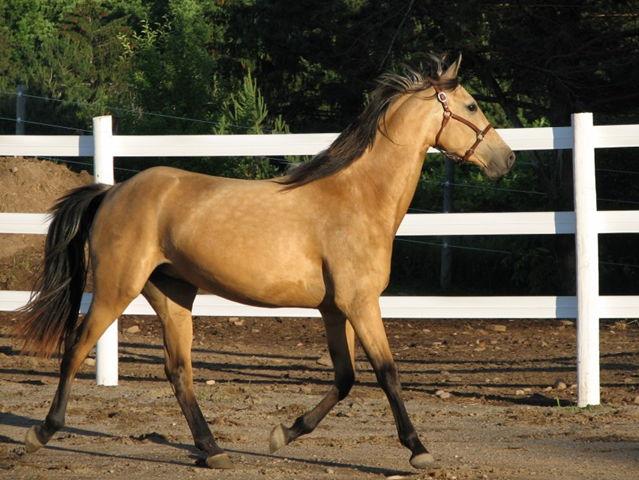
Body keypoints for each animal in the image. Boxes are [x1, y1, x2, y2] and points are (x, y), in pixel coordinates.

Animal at [13, 54, 514, 470]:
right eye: (471, 106)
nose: (506, 159)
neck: (357, 195)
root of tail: (113, 190)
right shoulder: (361, 304)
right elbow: (387, 373)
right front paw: (418, 450)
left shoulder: (335, 309)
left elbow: (346, 377)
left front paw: (283, 435)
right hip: (117, 287)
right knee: (76, 347)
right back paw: (43, 432)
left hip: (172, 293)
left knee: (179, 371)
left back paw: (213, 451)